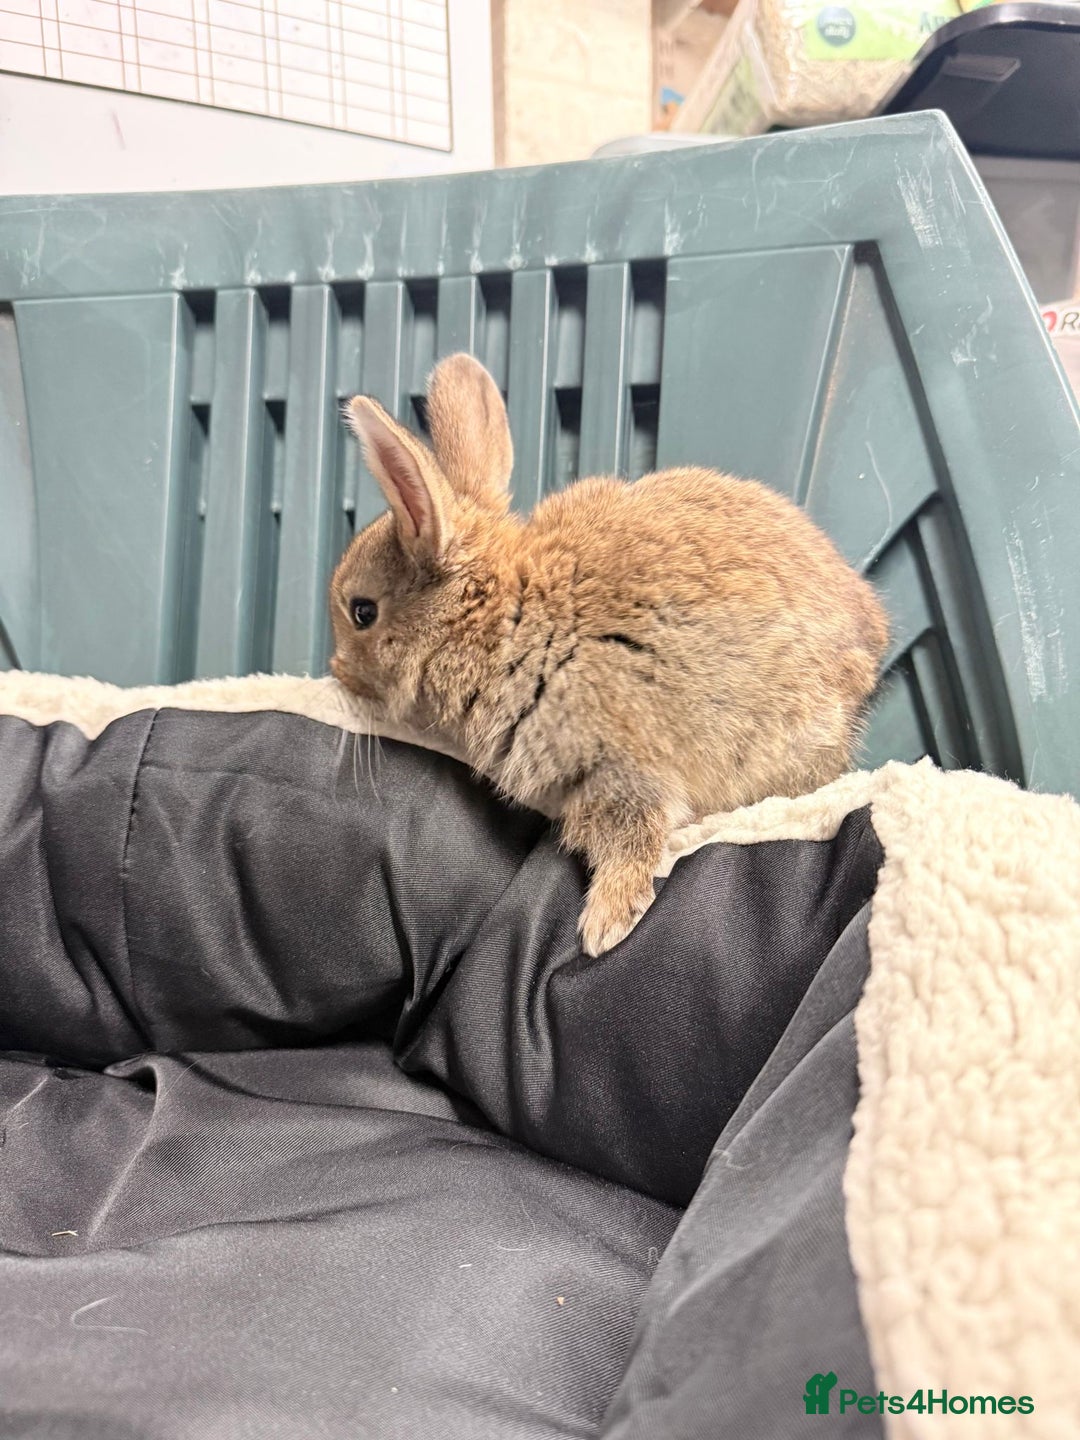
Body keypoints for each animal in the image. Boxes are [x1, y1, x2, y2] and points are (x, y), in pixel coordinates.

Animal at [329, 352, 889, 957]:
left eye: (363, 612)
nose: (336, 671)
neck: (502, 619)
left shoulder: (622, 767)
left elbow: (634, 841)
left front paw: (605, 927)